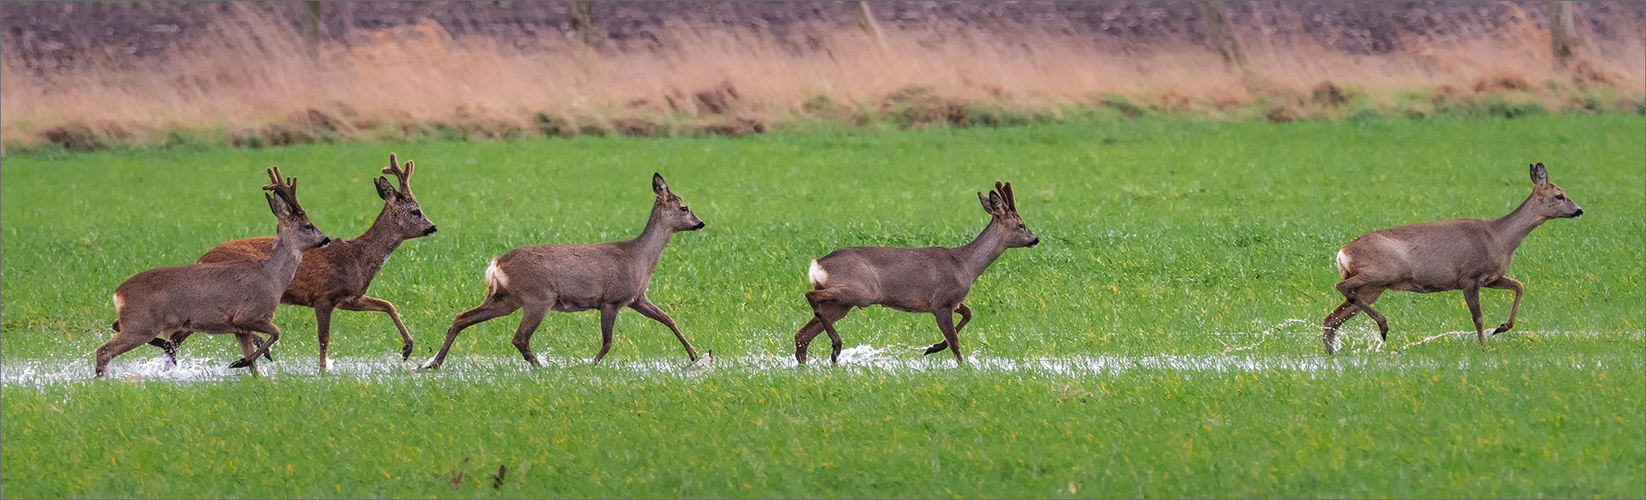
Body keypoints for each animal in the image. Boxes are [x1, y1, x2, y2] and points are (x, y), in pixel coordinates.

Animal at [94, 166, 334, 376]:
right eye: (308, 225)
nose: (326, 239)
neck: (273, 276)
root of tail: (118, 293)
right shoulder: (250, 313)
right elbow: (276, 333)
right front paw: (238, 362)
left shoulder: (238, 327)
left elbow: (254, 365)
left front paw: (249, 369)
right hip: (141, 324)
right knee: (103, 351)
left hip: (137, 323)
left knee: (115, 329)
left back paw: (165, 348)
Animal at [148, 154, 437, 368]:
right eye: (416, 211)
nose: (432, 227)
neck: (357, 257)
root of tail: (201, 258)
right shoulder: (324, 295)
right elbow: (323, 337)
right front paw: (322, 371)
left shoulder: (350, 298)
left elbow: (388, 305)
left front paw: (407, 349)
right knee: (180, 335)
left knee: (179, 337)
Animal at [414, 173, 704, 368]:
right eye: (684, 208)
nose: (700, 223)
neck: (640, 258)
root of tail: (495, 263)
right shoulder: (611, 300)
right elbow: (608, 342)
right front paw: (589, 366)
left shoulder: (637, 298)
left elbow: (669, 320)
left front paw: (695, 356)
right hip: (538, 297)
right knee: (519, 338)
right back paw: (542, 368)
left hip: (505, 299)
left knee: (462, 317)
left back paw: (433, 364)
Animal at [796, 179, 1040, 363]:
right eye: (1021, 225)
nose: (1035, 239)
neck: (966, 265)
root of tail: (817, 263)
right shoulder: (942, 302)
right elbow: (955, 343)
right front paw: (962, 366)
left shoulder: (952, 301)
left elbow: (968, 314)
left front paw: (933, 347)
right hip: (861, 291)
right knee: (810, 296)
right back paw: (836, 346)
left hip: (842, 304)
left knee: (802, 333)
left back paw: (809, 363)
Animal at [1323, 162, 1580, 353]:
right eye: (1560, 196)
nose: (1579, 210)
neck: (1499, 238)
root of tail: (1342, 252)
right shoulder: (1469, 277)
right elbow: (1478, 317)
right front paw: (1484, 348)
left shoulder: (1492, 278)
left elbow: (1519, 286)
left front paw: (1503, 327)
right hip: (1381, 272)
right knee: (1341, 287)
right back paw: (1383, 326)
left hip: (1375, 287)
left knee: (1331, 318)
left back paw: (1332, 352)